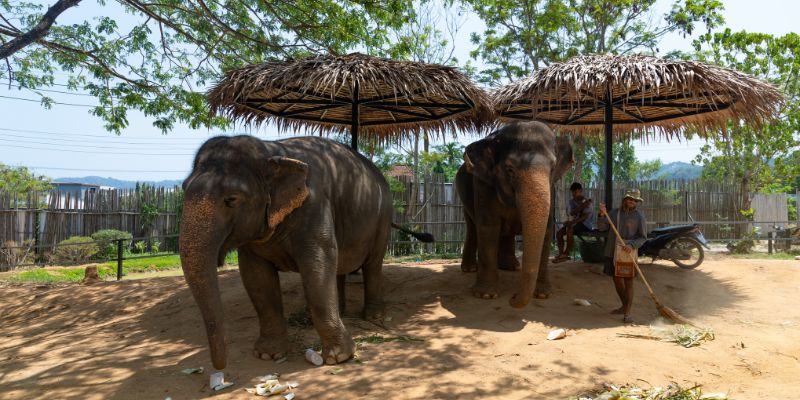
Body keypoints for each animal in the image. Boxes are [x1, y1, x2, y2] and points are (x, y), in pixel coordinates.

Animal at [178, 135, 432, 370]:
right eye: (183, 189)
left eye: (231, 199)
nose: (220, 367)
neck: (272, 151)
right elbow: (257, 280)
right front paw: (268, 355)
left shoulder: (314, 204)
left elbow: (317, 267)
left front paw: (339, 357)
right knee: (339, 266)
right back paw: (336, 312)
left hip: (382, 217)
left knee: (372, 263)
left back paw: (373, 316)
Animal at [455, 121, 573, 308]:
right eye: (509, 169)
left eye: (553, 168)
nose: (512, 297)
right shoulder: (483, 184)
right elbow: (488, 227)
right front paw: (485, 295)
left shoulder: (551, 189)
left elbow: (547, 230)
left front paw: (543, 295)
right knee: (473, 227)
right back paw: (470, 269)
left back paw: (510, 267)